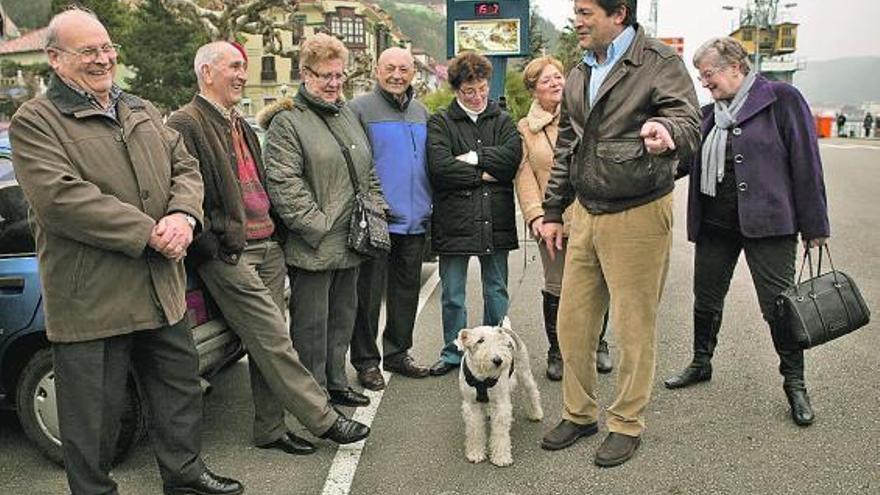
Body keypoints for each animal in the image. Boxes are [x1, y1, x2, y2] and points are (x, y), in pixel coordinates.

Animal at [454, 316, 544, 466]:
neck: (482, 377)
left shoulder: (501, 405)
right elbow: (475, 431)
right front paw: (476, 453)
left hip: (524, 373)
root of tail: (507, 329)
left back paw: (536, 413)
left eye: (499, 340)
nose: (498, 360)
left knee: (532, 392)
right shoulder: (472, 406)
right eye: (480, 340)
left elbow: (500, 433)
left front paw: (501, 457)